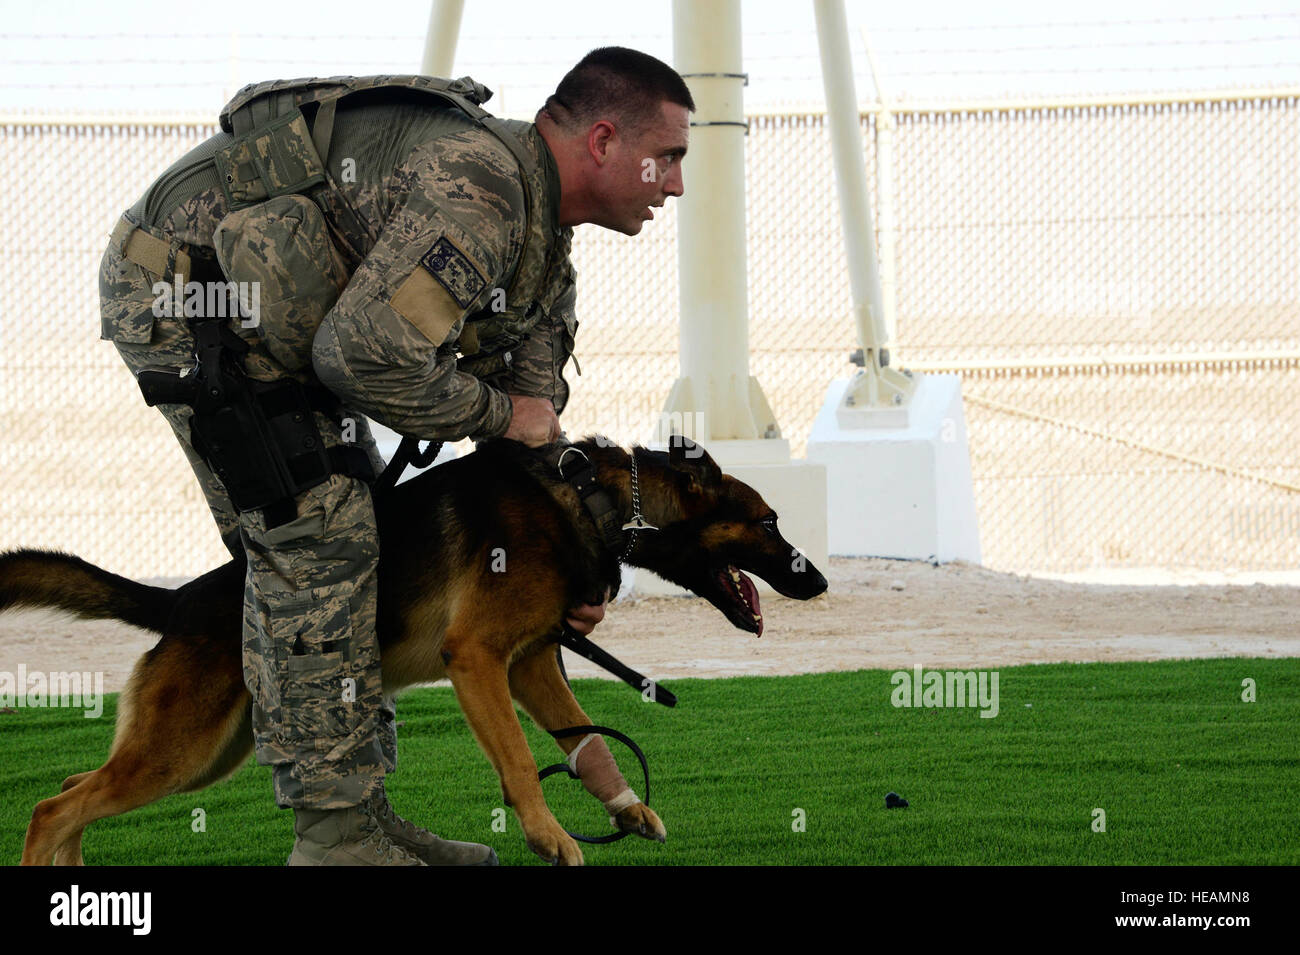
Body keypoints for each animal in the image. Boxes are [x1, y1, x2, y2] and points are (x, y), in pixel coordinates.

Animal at [2, 433, 821, 867]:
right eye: (769, 521)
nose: (814, 580)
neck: (593, 502)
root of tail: (178, 601)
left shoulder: (530, 663)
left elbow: (583, 738)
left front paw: (625, 807)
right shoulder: (479, 660)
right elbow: (520, 760)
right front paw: (548, 835)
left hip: (203, 755)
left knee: (73, 791)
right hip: (183, 750)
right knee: (51, 805)